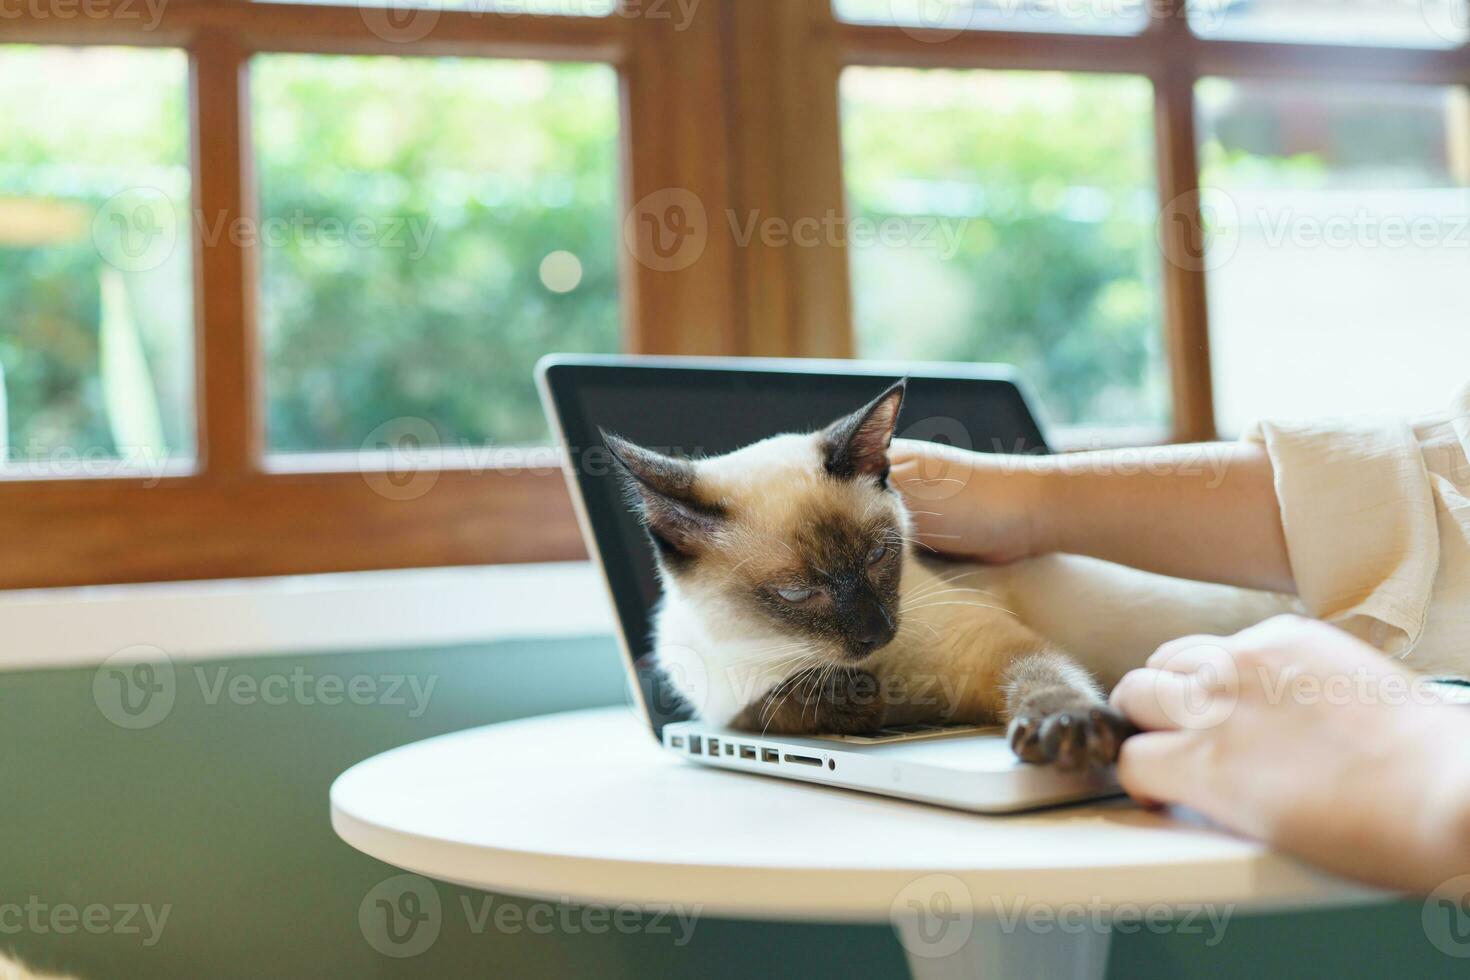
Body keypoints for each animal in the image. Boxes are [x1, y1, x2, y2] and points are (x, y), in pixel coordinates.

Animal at [602, 379, 1293, 769]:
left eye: (880, 557)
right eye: (798, 592)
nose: (876, 633)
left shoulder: (991, 650)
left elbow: (1047, 681)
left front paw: (1067, 731)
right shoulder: (722, 703)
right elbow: (773, 709)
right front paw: (853, 701)